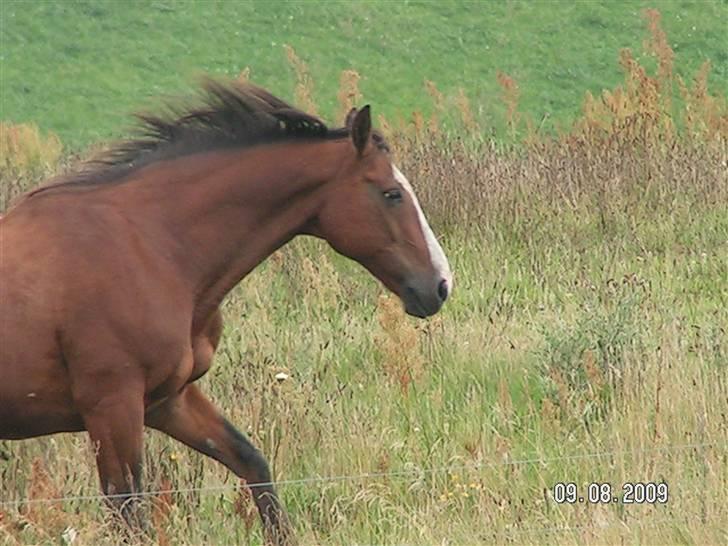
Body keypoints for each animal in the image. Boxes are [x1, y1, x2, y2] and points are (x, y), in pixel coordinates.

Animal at [0, 78, 452, 540]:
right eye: (391, 194)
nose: (439, 284)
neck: (152, 246)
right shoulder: (112, 407)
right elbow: (128, 514)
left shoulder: (168, 401)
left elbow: (253, 464)